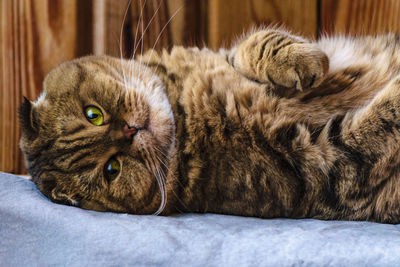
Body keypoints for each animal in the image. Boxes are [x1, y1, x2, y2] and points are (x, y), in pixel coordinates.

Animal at [20, 27, 400, 224]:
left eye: (93, 114)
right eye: (111, 169)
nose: (130, 130)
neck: (186, 111)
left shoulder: (224, 56)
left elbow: (252, 44)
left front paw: (301, 58)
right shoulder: (324, 164)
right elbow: (382, 119)